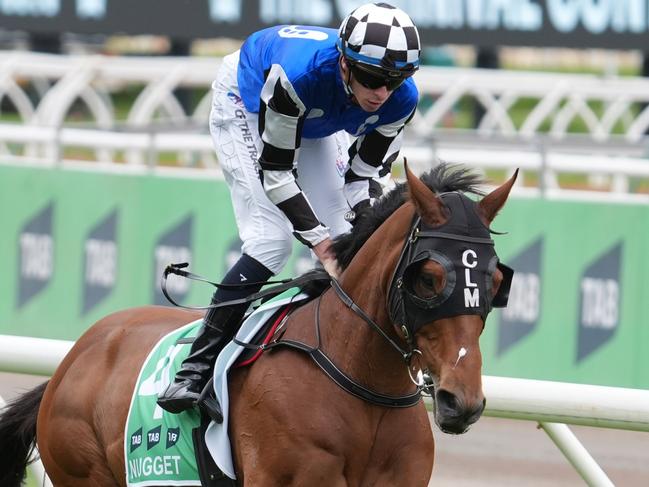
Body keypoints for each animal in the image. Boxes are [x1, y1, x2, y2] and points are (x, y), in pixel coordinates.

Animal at [0, 162, 516, 486]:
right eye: (429, 279)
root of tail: (71, 361)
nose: (461, 402)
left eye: (494, 279)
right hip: (81, 470)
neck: (362, 385)